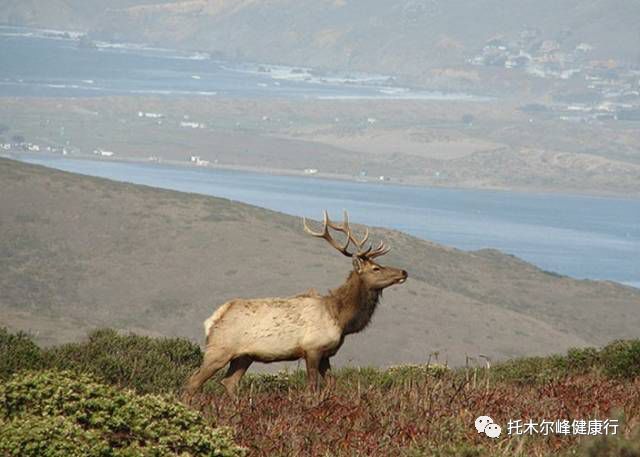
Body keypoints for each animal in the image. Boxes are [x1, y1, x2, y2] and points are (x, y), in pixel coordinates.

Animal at [182, 208, 408, 398]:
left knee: (229, 382)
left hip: (244, 356)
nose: (403, 272)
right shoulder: (312, 348)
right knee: (193, 381)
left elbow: (332, 384)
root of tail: (213, 319)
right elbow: (312, 386)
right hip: (219, 349)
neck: (341, 318)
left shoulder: (326, 353)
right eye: (376, 268)